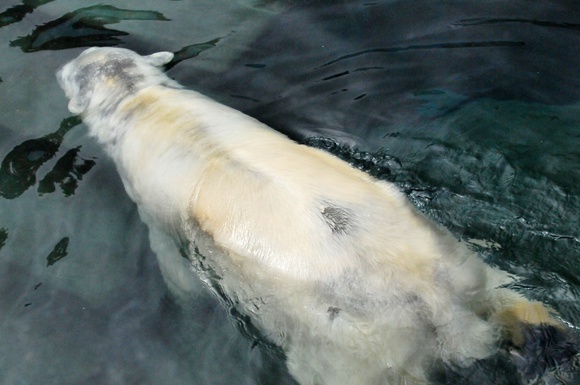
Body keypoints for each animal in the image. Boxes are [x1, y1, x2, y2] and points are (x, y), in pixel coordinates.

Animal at [56, 48, 576, 384]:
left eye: (66, 75)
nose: (63, 64)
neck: (138, 103)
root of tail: (436, 306)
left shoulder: (146, 199)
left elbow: (169, 259)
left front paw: (181, 297)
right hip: (448, 253)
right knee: (504, 290)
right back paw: (547, 342)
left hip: (351, 345)